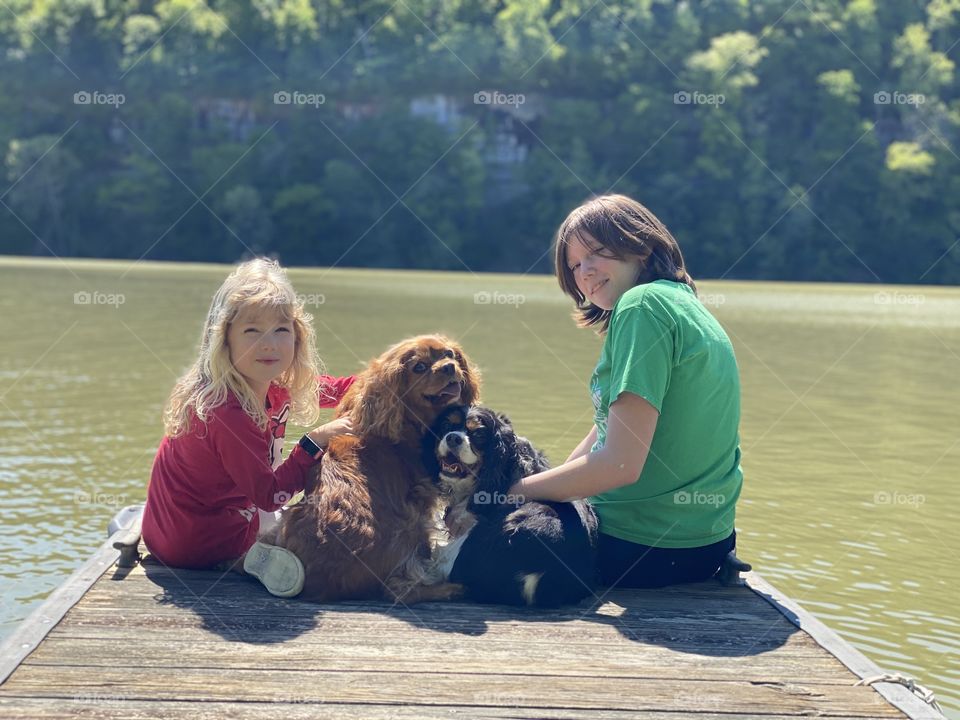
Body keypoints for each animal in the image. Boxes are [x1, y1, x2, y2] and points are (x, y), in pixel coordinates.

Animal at [274, 336, 480, 600]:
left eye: (450, 354)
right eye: (419, 367)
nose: (448, 367)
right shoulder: (422, 498)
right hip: (407, 527)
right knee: (398, 591)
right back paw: (449, 589)